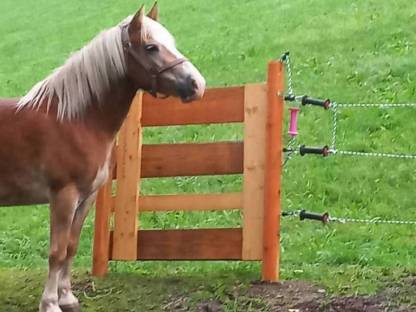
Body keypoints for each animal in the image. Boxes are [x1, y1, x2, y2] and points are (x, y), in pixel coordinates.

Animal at [0, 3, 206, 312]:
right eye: (151, 47)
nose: (197, 84)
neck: (75, 121)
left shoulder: (86, 197)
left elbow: (71, 247)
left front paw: (67, 297)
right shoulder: (64, 195)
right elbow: (57, 251)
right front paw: (50, 303)